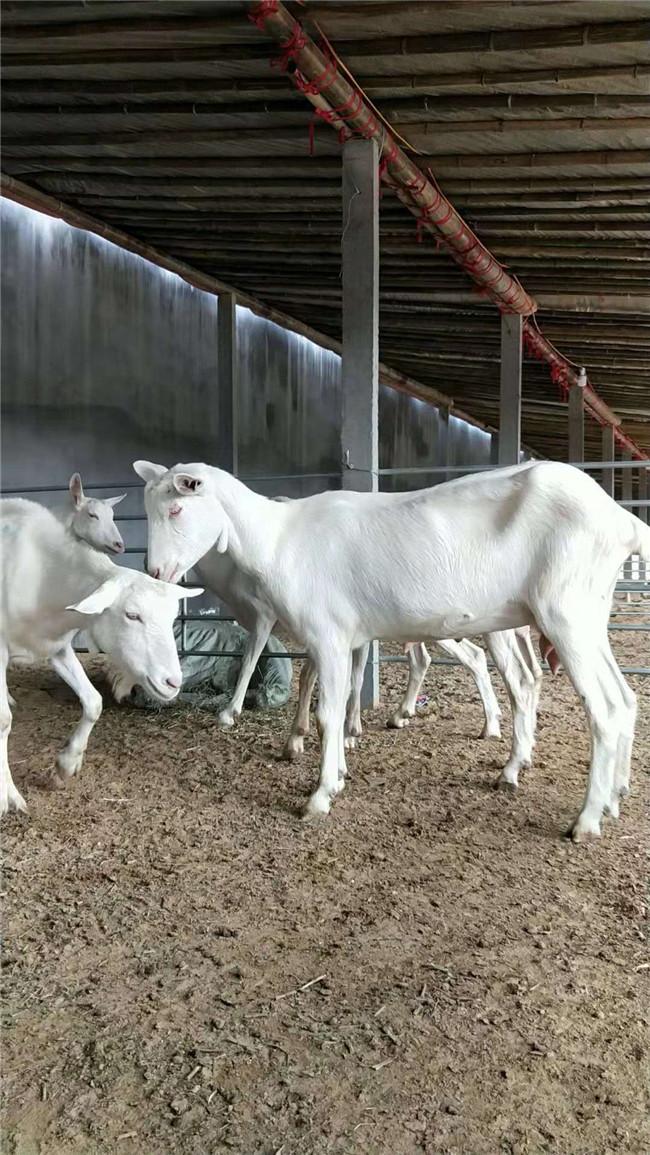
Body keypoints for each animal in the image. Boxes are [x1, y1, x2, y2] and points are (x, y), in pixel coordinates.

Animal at [0, 501, 203, 817]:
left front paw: (67, 764)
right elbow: (3, 722)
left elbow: (94, 702)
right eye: (132, 615)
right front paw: (7, 796)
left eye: (172, 617)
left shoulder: (58, 647)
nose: (173, 682)